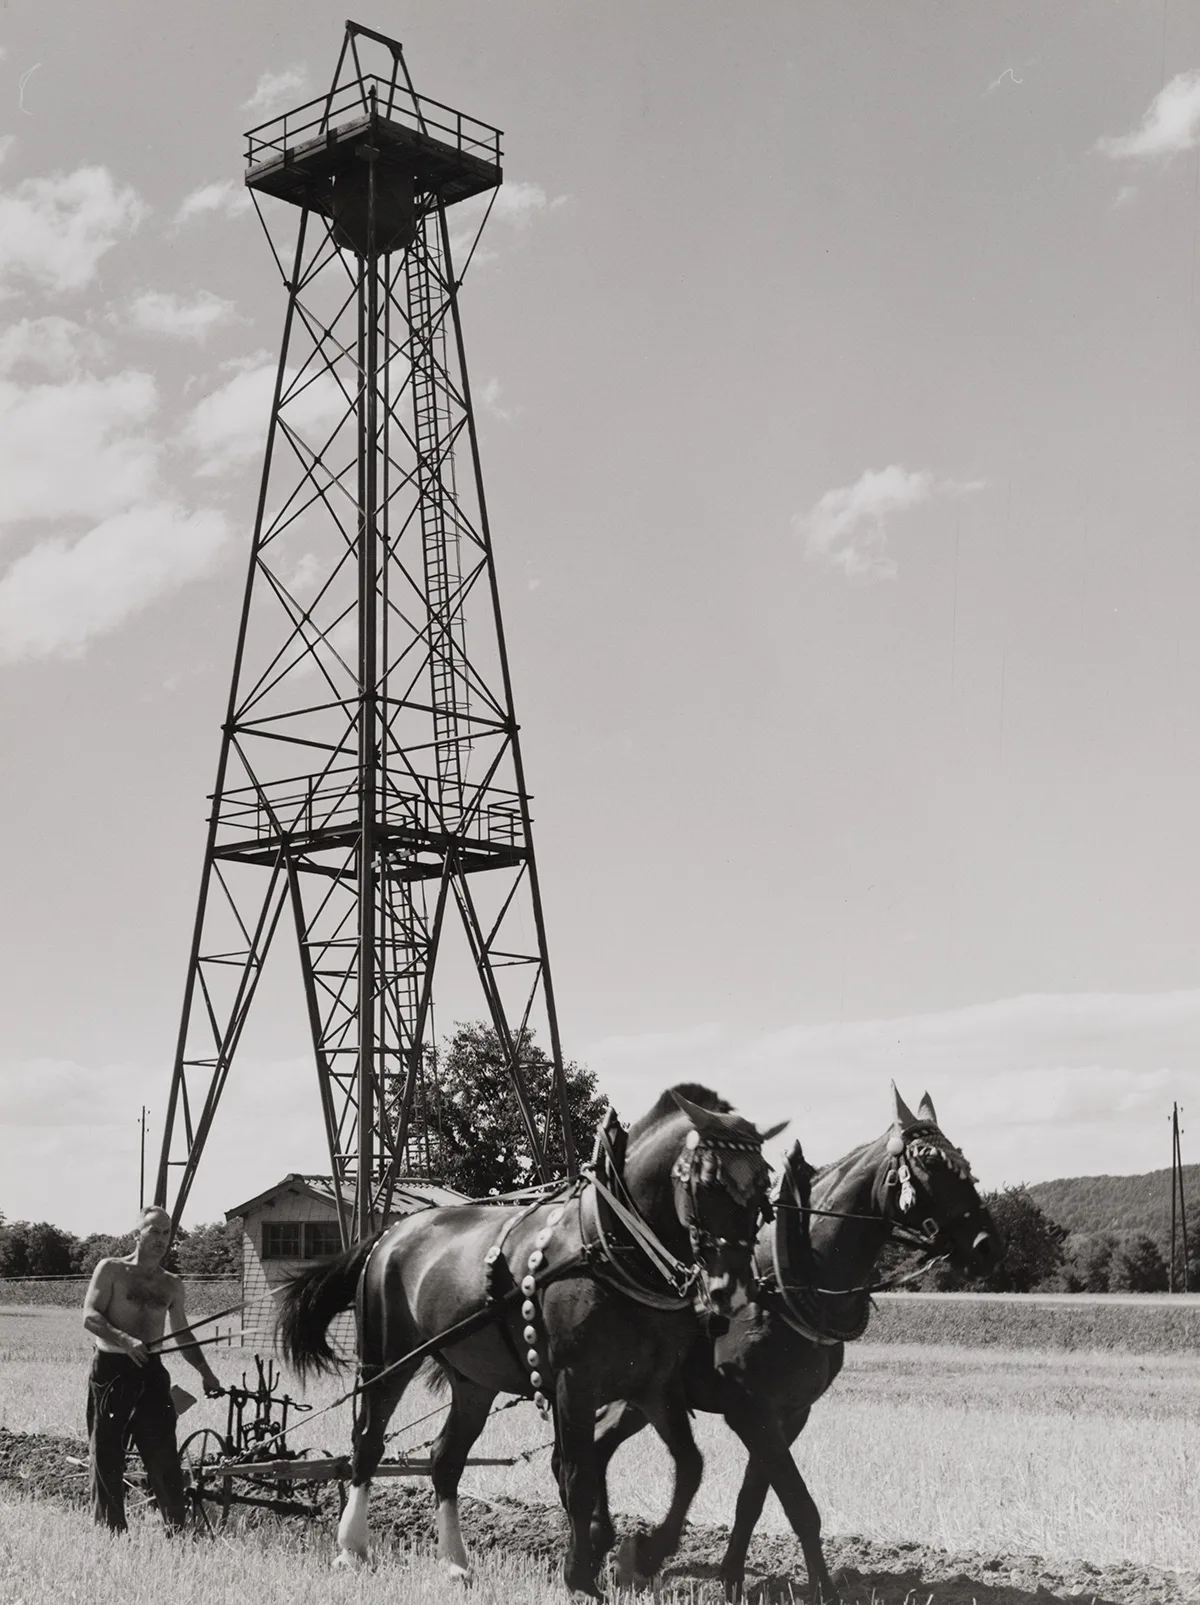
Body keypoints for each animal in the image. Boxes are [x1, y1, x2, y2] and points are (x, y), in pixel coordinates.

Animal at [280, 1084, 786, 1598]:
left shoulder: (654, 1385)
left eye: (764, 1185)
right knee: (366, 1444)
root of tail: (390, 1232)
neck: (611, 1244)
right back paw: (352, 1548)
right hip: (387, 1360)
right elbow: (578, 1476)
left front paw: (643, 1551)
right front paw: (580, 1573)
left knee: (445, 1459)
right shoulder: (573, 1380)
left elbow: (689, 1466)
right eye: (708, 1180)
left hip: (474, 1381)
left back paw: (455, 1563)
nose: (733, 1288)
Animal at [593, 1084, 1001, 1598]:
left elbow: (753, 1500)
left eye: (962, 1161)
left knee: (599, 1439)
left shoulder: (791, 1413)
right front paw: (822, 1588)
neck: (786, 1284)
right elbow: (799, 1504)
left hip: (641, 1398)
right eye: (928, 1162)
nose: (987, 1246)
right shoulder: (750, 1411)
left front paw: (732, 1579)